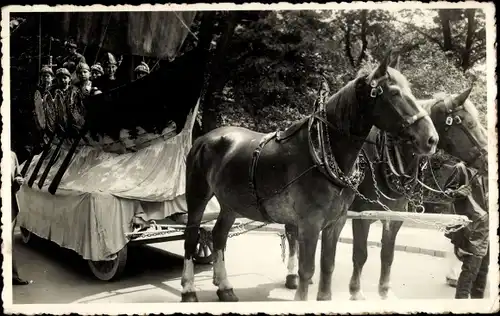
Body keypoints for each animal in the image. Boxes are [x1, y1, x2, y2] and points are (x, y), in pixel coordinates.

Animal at [180, 52, 438, 304]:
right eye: (394, 93)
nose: (431, 139)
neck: (322, 154)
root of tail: (204, 138)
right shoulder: (310, 223)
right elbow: (307, 269)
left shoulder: (337, 222)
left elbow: (327, 265)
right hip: (197, 195)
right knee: (192, 237)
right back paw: (189, 290)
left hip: (230, 204)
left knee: (219, 236)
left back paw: (225, 288)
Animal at [282, 58, 488, 298]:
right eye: (467, 123)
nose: (487, 156)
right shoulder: (363, 214)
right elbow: (360, 254)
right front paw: (355, 291)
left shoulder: (394, 215)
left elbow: (387, 255)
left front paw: (384, 291)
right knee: (292, 234)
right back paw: (291, 276)